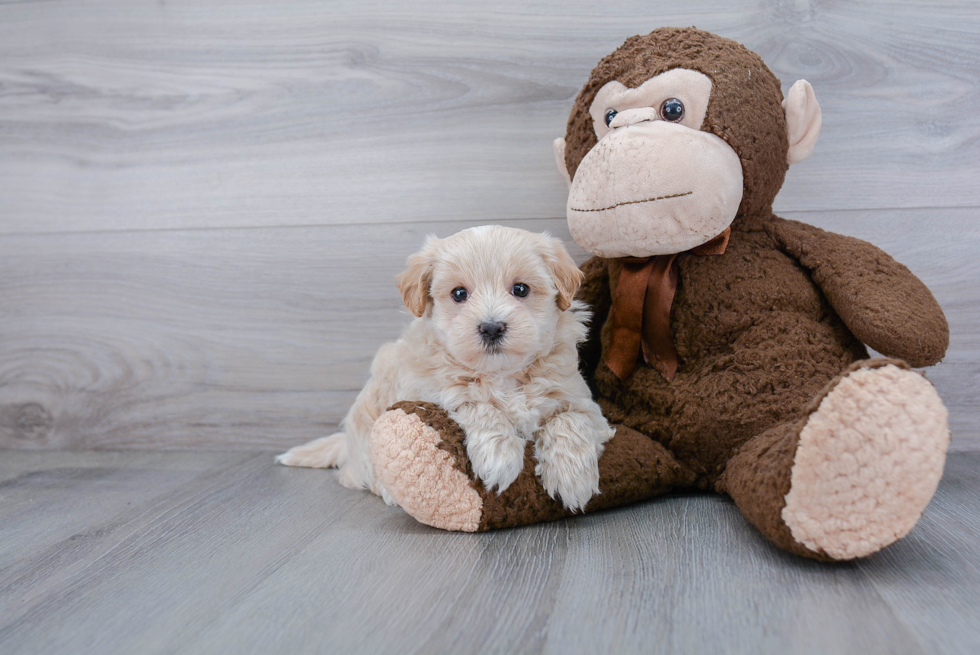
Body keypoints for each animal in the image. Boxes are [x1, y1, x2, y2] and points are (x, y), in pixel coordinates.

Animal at [276, 226, 612, 512]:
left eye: (520, 289)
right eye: (459, 294)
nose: (491, 328)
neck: (501, 374)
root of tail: (346, 442)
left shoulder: (580, 400)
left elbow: (570, 420)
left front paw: (573, 479)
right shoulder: (429, 390)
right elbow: (474, 402)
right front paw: (499, 457)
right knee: (364, 474)